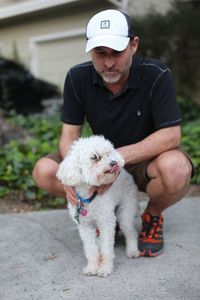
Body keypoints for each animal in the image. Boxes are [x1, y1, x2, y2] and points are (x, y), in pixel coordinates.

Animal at [56, 135, 139, 276]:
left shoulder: (106, 222)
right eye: (94, 157)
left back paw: (132, 250)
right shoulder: (85, 226)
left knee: (131, 232)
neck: (89, 195)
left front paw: (105, 268)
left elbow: (106, 249)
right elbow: (90, 249)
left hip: (125, 211)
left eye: (109, 153)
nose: (114, 162)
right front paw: (92, 267)